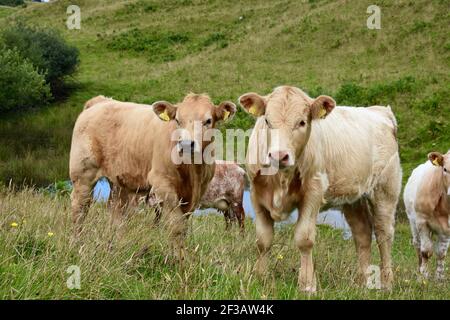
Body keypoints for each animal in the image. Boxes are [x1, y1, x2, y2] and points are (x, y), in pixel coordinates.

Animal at [69, 92, 236, 258]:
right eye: (177, 120)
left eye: (208, 121)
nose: (186, 144)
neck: (192, 171)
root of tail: (101, 101)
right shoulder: (163, 184)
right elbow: (176, 226)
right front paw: (177, 259)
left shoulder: (197, 192)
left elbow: (183, 227)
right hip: (83, 174)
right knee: (80, 208)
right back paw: (78, 245)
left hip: (119, 182)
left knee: (116, 212)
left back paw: (114, 248)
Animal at [241, 85, 402, 292]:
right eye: (267, 121)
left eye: (302, 122)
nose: (279, 155)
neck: (281, 179)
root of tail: (380, 111)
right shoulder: (256, 194)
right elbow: (263, 239)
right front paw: (260, 277)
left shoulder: (313, 193)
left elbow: (304, 238)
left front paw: (307, 284)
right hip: (352, 197)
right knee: (363, 233)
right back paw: (362, 282)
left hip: (385, 190)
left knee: (384, 235)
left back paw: (387, 283)